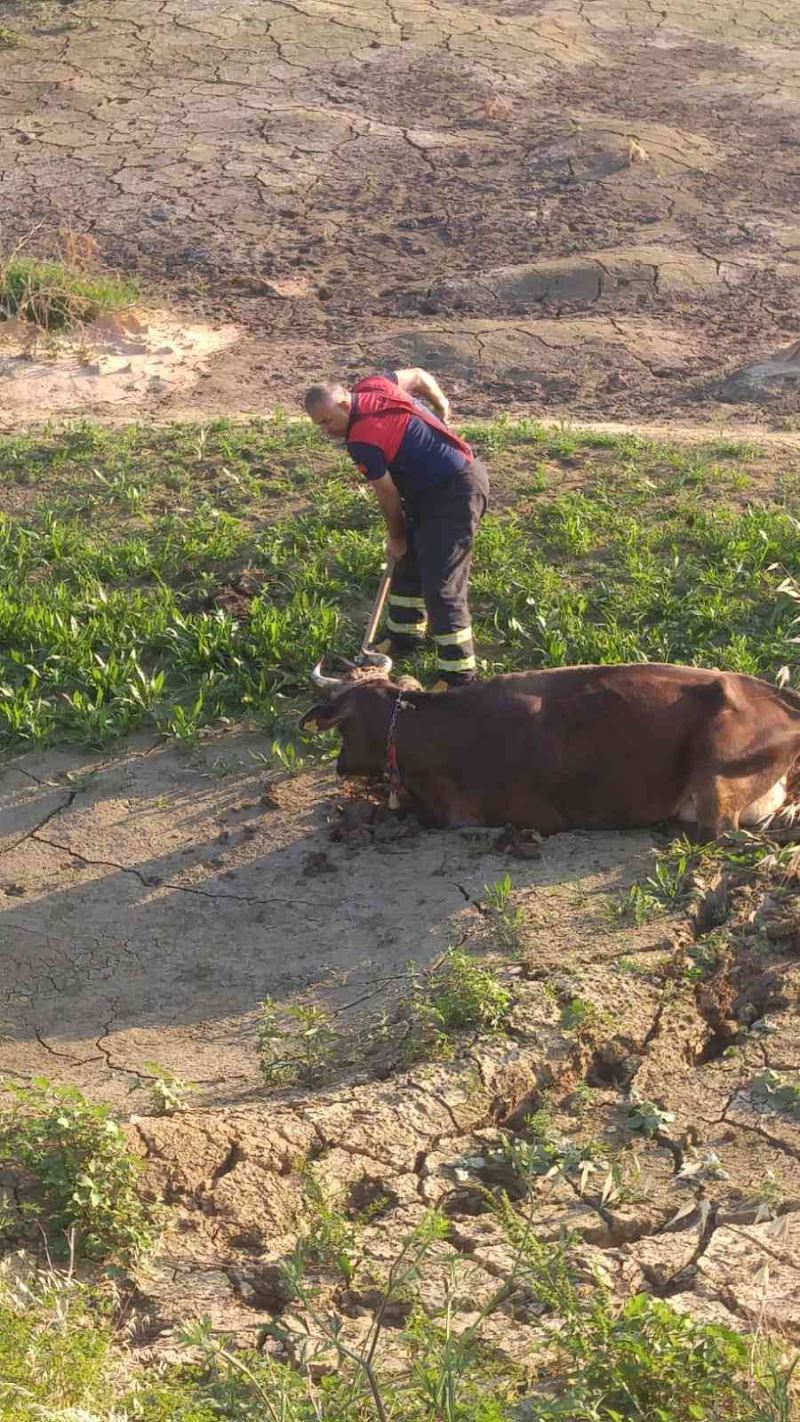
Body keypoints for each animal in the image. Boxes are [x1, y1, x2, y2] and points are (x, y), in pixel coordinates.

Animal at [302, 656, 800, 836]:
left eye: (342, 725)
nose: (339, 766)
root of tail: (782, 697)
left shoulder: (465, 815)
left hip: (715, 771)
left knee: (726, 830)